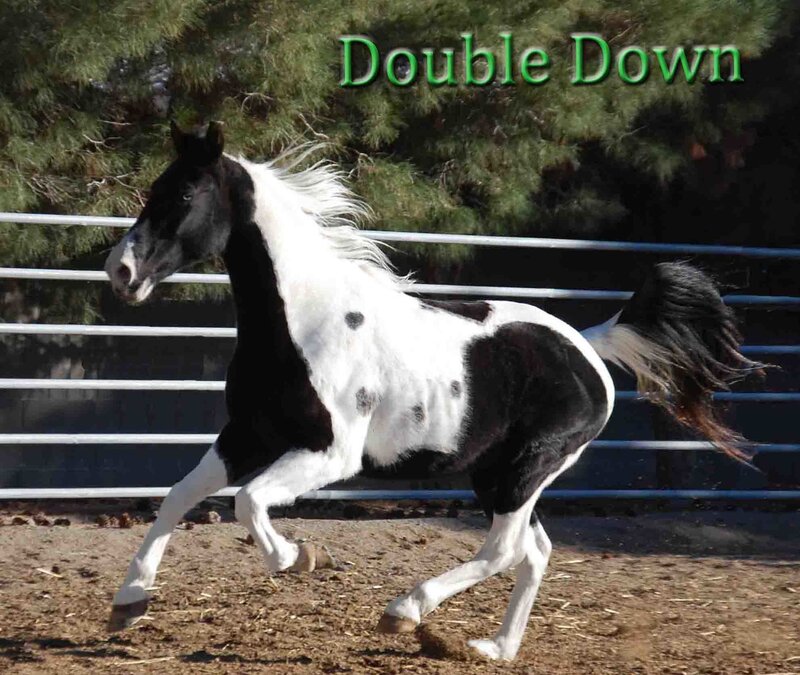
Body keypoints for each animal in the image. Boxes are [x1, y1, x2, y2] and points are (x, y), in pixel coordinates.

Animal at [103, 121, 758, 661]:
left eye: (184, 195)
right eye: (155, 188)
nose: (121, 272)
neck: (304, 322)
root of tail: (590, 345)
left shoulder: (330, 454)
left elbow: (247, 502)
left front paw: (300, 557)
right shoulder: (247, 435)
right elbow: (180, 496)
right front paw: (129, 601)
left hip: (525, 469)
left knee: (504, 550)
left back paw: (404, 612)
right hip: (497, 475)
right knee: (534, 550)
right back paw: (493, 648)